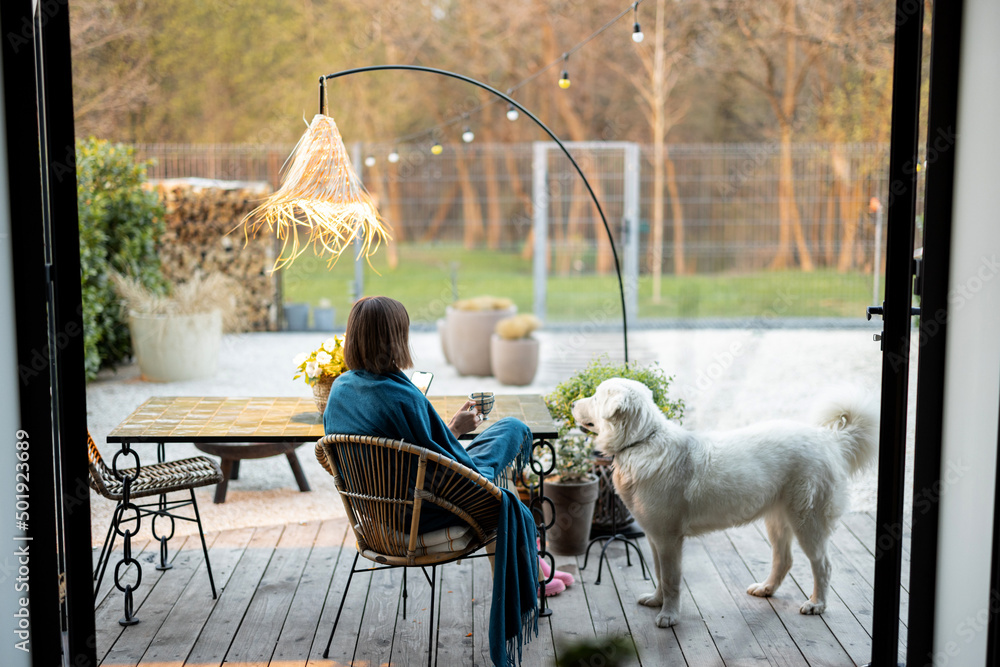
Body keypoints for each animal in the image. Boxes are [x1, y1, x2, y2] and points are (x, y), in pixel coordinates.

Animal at [572, 378, 876, 628]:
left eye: (595, 397)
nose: (573, 403)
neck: (640, 442)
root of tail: (829, 439)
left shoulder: (669, 539)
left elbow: (670, 580)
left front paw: (668, 616)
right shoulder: (654, 536)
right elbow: (658, 574)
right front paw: (656, 601)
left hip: (807, 522)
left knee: (822, 564)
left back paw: (816, 604)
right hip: (777, 521)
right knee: (784, 560)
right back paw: (766, 588)